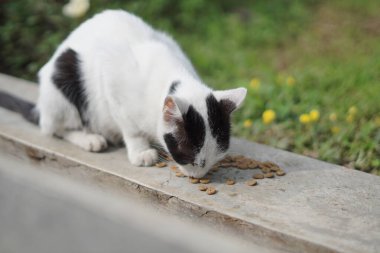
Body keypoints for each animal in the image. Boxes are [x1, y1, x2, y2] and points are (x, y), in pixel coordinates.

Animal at [0, 9, 246, 178]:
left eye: (215, 158)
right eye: (190, 157)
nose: (199, 176)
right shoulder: (112, 84)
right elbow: (131, 128)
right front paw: (140, 152)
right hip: (62, 83)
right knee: (55, 128)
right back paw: (90, 138)